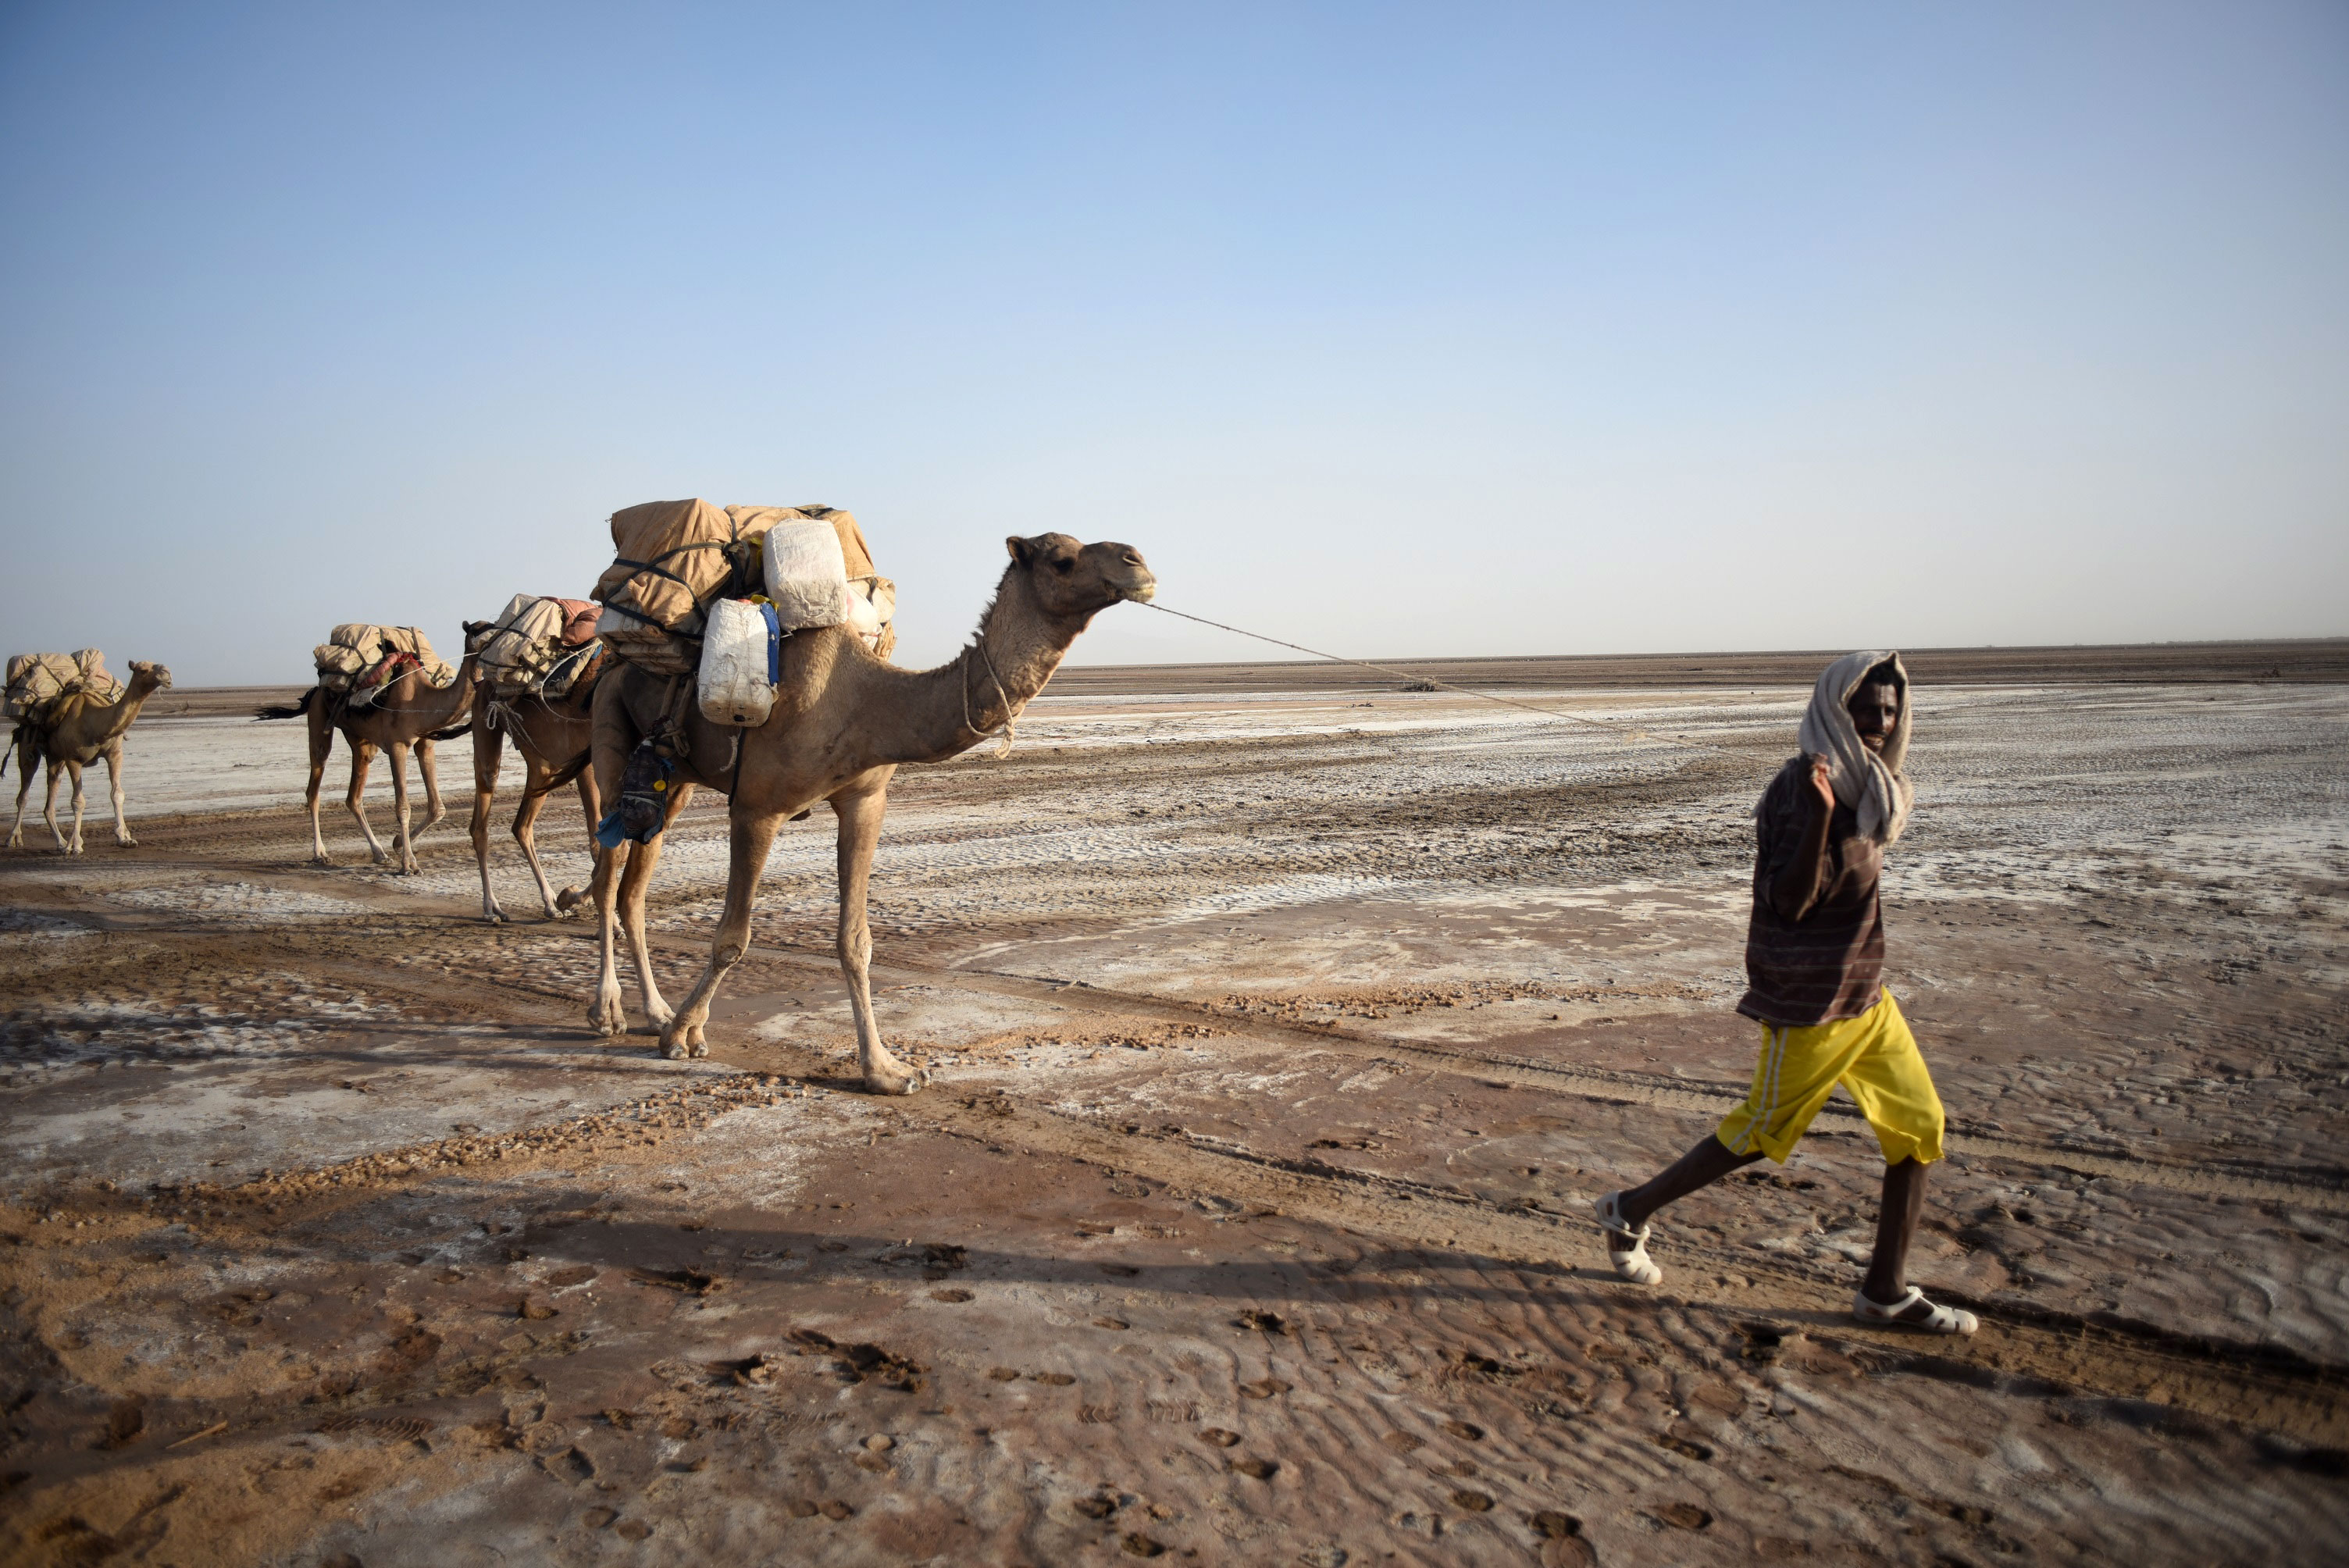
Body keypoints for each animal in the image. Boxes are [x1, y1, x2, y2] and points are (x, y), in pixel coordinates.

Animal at [5, 662, 174, 854]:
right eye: (143, 669)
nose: (166, 673)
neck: (94, 724)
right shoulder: (73, 759)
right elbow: (78, 801)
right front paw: (75, 845)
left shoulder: (115, 754)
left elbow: (117, 794)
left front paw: (125, 838)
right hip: (28, 745)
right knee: (24, 793)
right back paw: (14, 839)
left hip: (55, 757)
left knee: (51, 795)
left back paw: (61, 842)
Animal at [256, 656, 480, 874]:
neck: (422, 697)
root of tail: (315, 691)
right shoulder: (396, 746)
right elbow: (403, 807)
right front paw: (409, 864)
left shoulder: (425, 745)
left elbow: (438, 808)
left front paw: (398, 843)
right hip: (319, 722)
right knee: (314, 787)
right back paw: (320, 853)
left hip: (361, 742)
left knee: (353, 798)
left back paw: (379, 853)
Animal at [462, 638, 606, 922]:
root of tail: (482, 683)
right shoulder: (589, 758)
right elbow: (599, 841)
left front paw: (571, 898)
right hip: (488, 731)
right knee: (481, 824)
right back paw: (492, 908)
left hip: (542, 765)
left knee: (521, 826)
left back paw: (550, 903)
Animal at [586, 532, 1154, 1094]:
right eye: (1061, 560)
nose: (1139, 564)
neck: (863, 700)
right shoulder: (756, 809)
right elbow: (733, 937)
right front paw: (681, 1036)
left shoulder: (866, 802)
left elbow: (856, 941)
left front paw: (886, 1069)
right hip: (611, 735)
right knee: (606, 875)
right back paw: (609, 1011)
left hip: (674, 781)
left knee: (633, 888)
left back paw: (655, 1010)